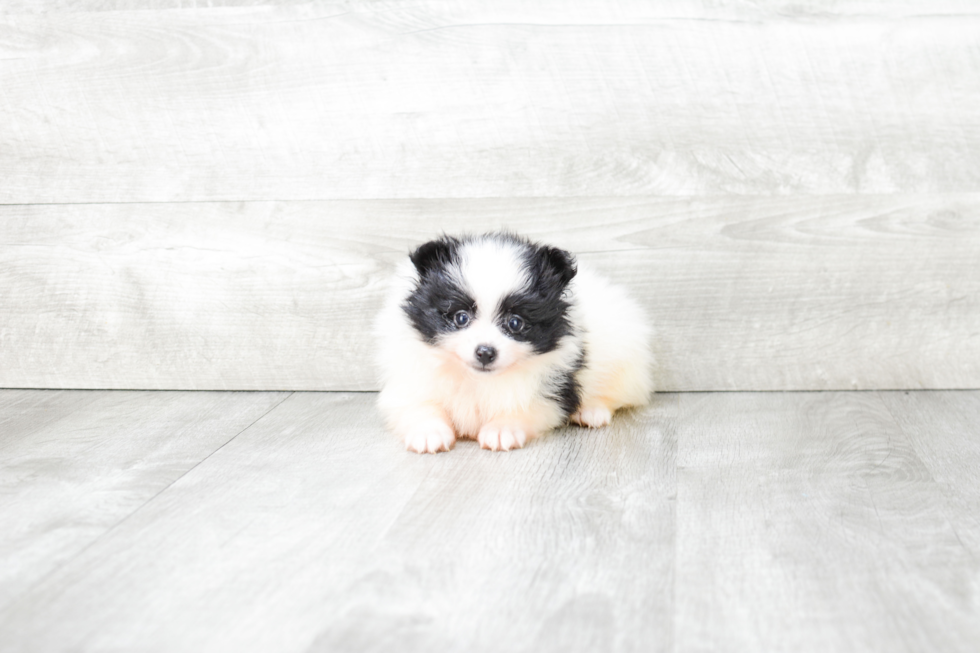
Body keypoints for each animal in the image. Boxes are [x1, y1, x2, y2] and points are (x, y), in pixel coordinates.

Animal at [376, 233, 652, 454]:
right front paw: (428, 433)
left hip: (624, 357)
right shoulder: (413, 378)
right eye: (461, 318)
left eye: (515, 323)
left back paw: (591, 411)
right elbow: (420, 405)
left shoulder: (552, 387)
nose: (485, 352)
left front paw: (502, 429)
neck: (478, 379)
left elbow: (524, 407)